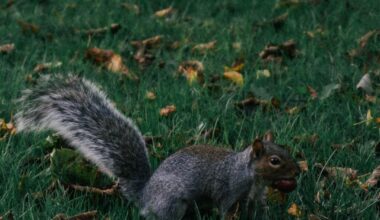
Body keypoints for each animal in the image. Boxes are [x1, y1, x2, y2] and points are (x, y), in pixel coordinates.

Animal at [14, 75, 300, 218]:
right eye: (274, 160)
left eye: (284, 150)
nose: (298, 171)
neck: (251, 176)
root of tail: (145, 195)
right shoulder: (227, 190)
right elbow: (223, 210)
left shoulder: (255, 196)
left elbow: (257, 210)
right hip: (173, 202)